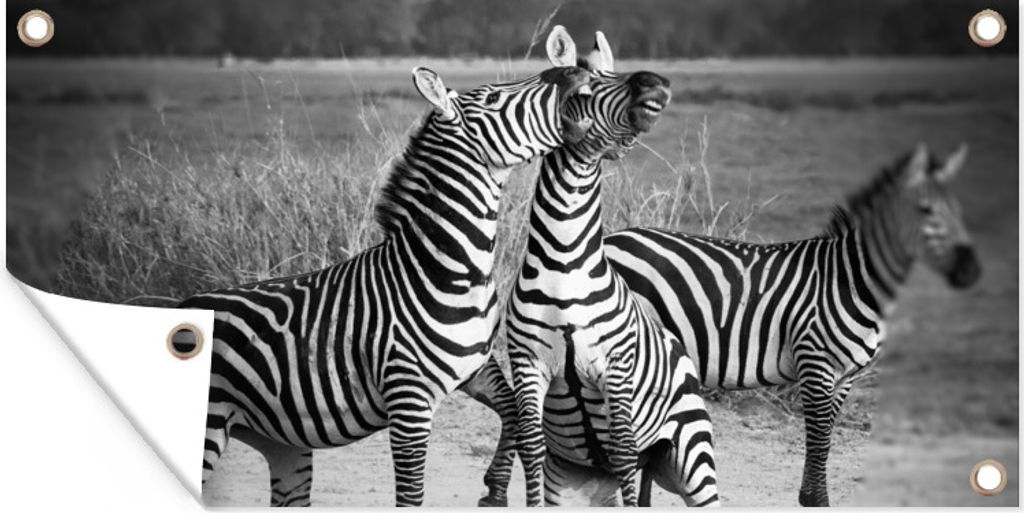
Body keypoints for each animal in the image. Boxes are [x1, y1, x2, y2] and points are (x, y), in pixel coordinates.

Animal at [182, 45, 596, 507]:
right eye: (491, 98)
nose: (572, 70)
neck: (445, 270)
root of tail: (185, 305)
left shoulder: (476, 368)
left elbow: (514, 417)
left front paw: (494, 489)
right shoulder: (408, 398)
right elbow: (411, 494)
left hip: (279, 441)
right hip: (209, 426)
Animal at [506, 27, 720, 507]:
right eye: (586, 90)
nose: (655, 82)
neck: (564, 264)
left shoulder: (615, 367)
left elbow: (623, 450)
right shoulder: (528, 365)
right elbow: (530, 449)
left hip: (691, 455)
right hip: (575, 477)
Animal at [603, 143, 981, 506]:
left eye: (960, 212)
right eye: (926, 210)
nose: (971, 273)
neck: (850, 281)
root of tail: (611, 238)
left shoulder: (846, 376)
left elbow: (825, 438)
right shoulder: (815, 362)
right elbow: (819, 441)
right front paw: (815, 500)